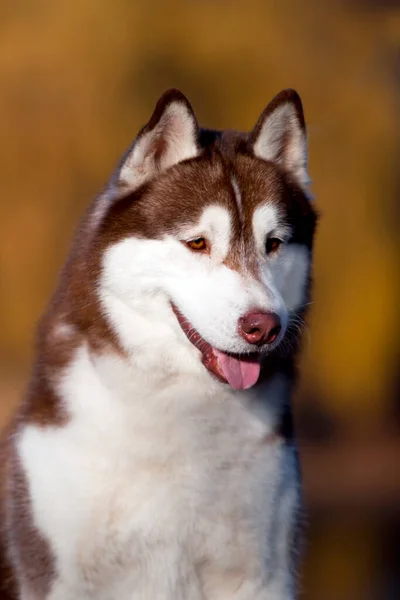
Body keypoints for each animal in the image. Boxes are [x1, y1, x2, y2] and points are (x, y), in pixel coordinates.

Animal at [0, 86, 318, 596]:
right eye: (197, 243)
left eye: (273, 244)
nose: (264, 325)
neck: (180, 410)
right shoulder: (56, 577)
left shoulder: (262, 573)